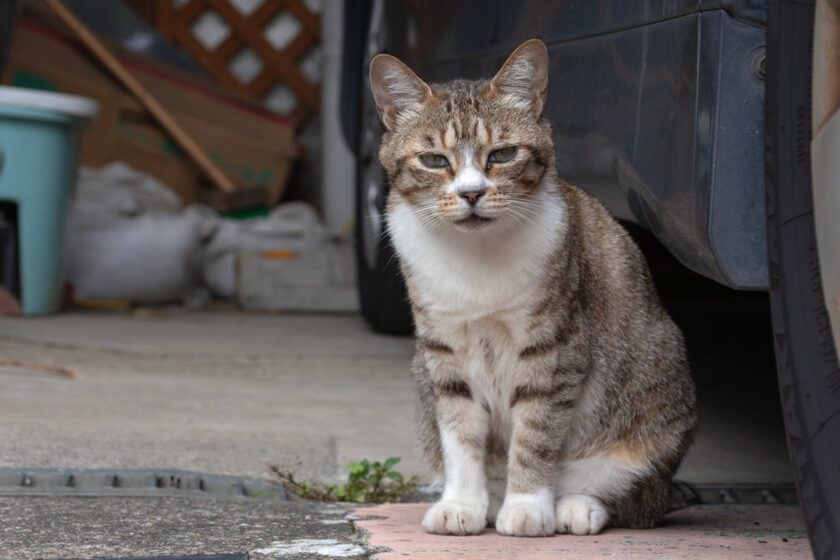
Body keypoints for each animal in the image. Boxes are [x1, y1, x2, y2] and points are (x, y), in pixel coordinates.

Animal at [370, 39, 696, 540]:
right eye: (434, 160)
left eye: (503, 154)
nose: (470, 193)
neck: (476, 256)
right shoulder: (444, 352)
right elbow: (461, 435)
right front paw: (463, 503)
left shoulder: (554, 346)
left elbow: (536, 433)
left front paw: (526, 506)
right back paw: (491, 500)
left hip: (656, 403)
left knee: (640, 497)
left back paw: (576, 506)